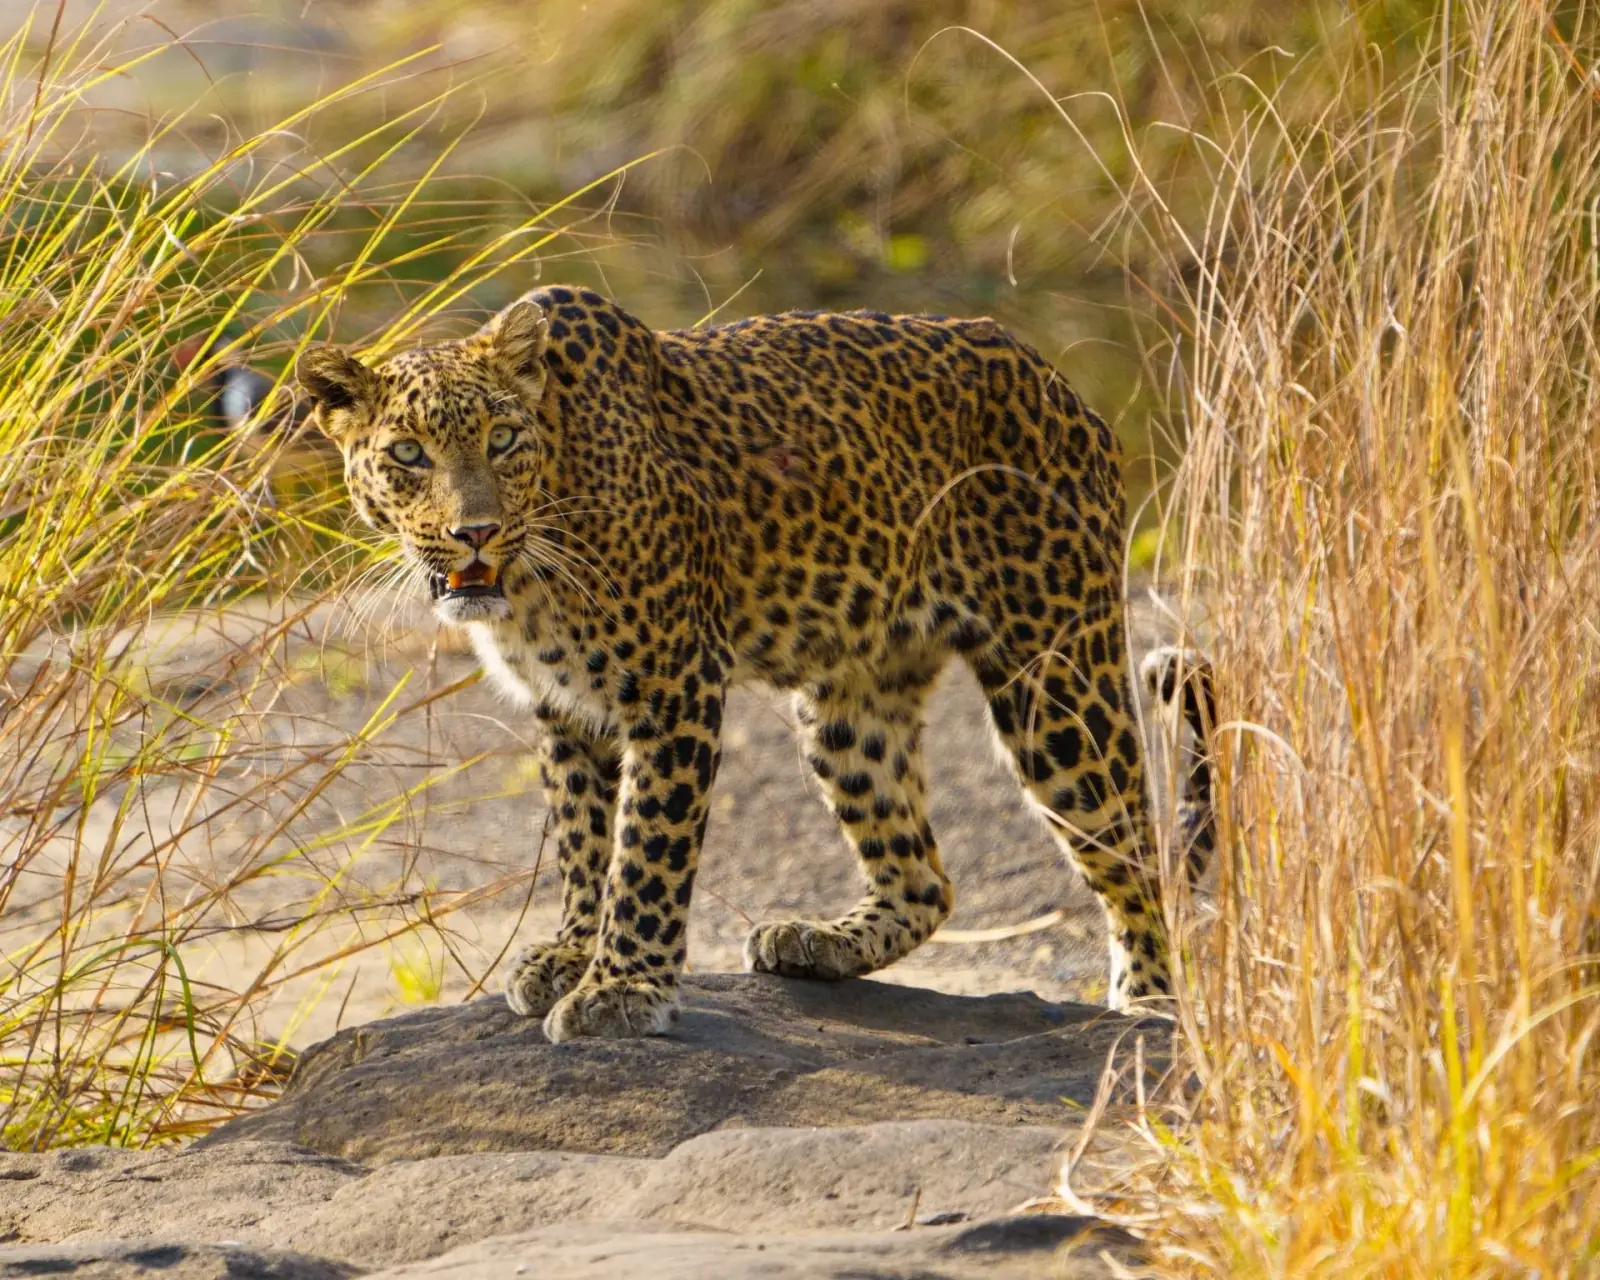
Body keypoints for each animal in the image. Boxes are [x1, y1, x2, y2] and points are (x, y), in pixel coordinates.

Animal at [295, 285, 1217, 1042]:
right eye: (408, 455)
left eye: (503, 438)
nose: (475, 533)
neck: (533, 568)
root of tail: (1063, 386)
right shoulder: (564, 709)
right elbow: (583, 841)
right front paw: (572, 953)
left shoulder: (673, 684)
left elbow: (646, 848)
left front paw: (623, 988)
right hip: (850, 706)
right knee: (925, 876)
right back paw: (819, 942)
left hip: (1055, 682)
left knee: (1138, 856)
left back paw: (1149, 1000)